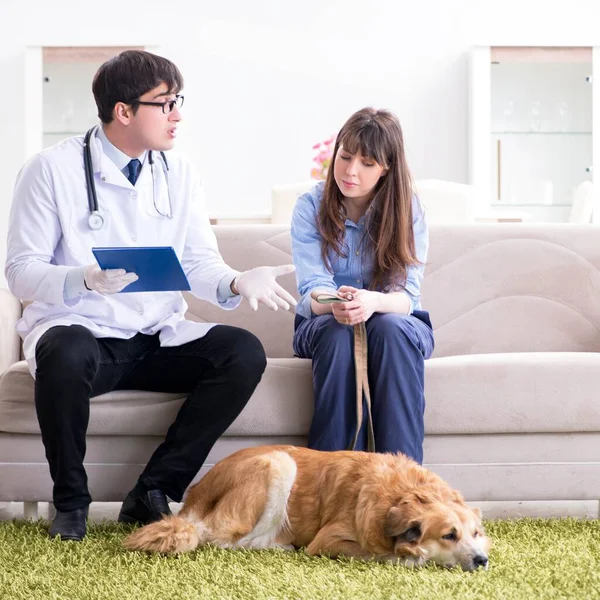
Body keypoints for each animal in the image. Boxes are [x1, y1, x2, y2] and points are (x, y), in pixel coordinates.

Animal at [124, 446, 490, 572]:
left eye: (475, 534)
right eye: (449, 535)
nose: (483, 560)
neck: (399, 495)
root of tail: (197, 492)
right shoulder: (328, 541)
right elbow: (376, 554)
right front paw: (412, 557)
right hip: (276, 463)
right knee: (218, 537)